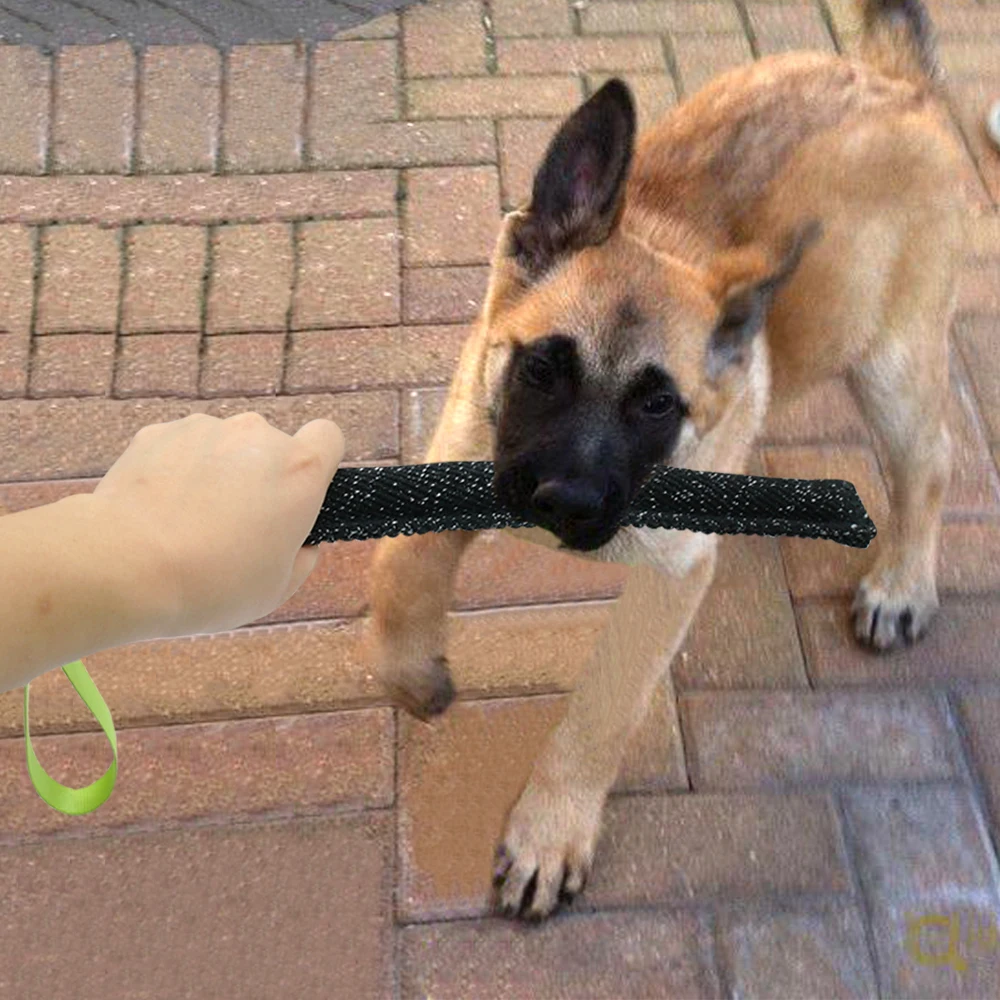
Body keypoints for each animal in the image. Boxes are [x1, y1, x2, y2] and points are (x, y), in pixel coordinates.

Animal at [367, 0, 965, 920]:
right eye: (542, 367)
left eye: (657, 405)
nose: (562, 503)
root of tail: (895, 79)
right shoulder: (463, 455)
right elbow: (397, 569)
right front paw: (411, 674)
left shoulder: (671, 575)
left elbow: (602, 707)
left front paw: (550, 831)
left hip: (892, 363)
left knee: (930, 461)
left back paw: (901, 584)